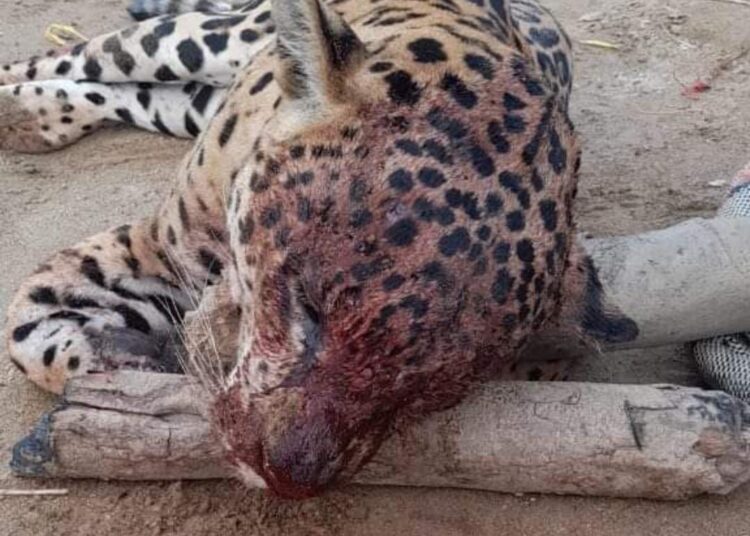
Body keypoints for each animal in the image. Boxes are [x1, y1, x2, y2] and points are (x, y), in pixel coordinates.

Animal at [1, 0, 638, 498]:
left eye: (434, 388)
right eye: (305, 305)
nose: (286, 479)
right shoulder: (156, 248)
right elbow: (25, 329)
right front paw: (132, 363)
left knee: (143, 96)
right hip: (197, 39)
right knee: (89, 58)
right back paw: (20, 106)